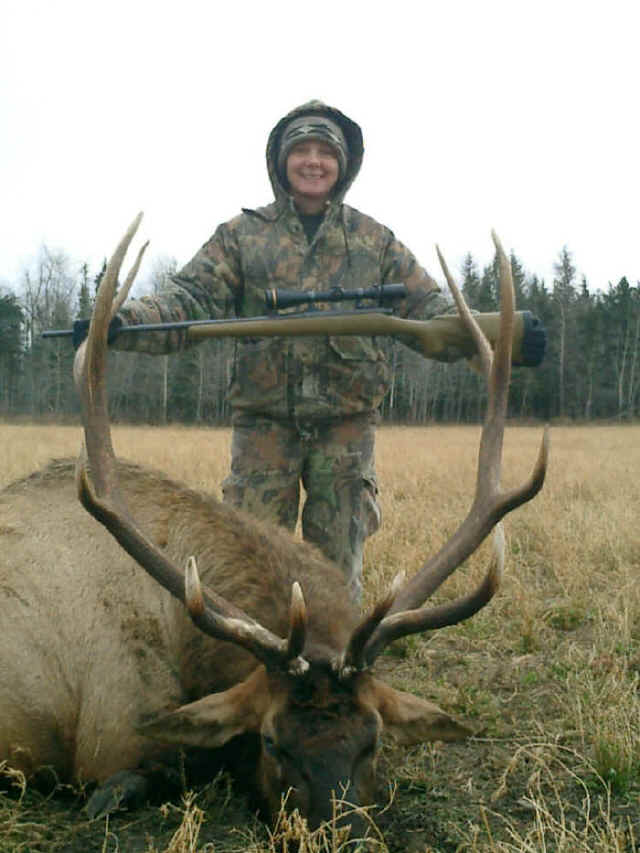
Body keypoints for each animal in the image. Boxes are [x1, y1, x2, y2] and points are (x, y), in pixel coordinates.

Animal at [0, 214, 548, 835]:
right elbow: (149, 773)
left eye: (374, 740)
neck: (190, 649)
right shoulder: (110, 735)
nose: (339, 835)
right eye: (270, 741)